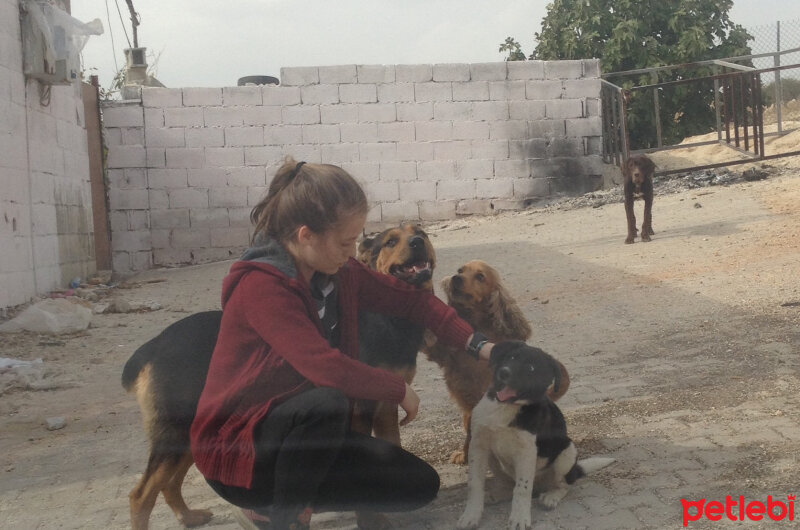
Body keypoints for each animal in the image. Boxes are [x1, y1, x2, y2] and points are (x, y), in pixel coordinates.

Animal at [124, 222, 434, 528]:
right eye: (391, 242)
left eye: (420, 232)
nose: (417, 242)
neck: (389, 319)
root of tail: (153, 347)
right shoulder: (363, 408)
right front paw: (371, 519)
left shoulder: (386, 408)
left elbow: (393, 445)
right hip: (176, 431)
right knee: (141, 494)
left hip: (191, 433)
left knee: (168, 483)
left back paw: (188, 516)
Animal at [456, 340, 612, 524]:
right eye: (511, 357)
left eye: (531, 368)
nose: (504, 372)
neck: (507, 406)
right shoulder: (478, 445)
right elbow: (475, 483)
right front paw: (471, 515)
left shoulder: (527, 451)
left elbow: (522, 488)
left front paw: (519, 518)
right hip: (494, 459)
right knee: (509, 484)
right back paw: (497, 495)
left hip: (567, 452)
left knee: (564, 485)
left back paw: (551, 497)